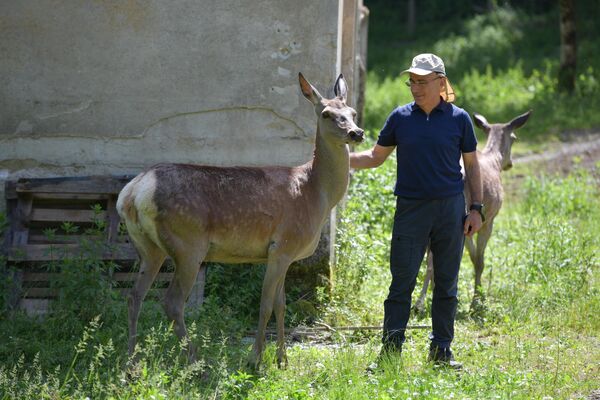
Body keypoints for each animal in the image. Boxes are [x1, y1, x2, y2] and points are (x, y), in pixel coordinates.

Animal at [115, 72, 364, 368]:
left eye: (352, 112)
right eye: (326, 114)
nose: (356, 132)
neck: (315, 193)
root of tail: (133, 192)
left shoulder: (284, 254)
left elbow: (281, 305)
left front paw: (282, 359)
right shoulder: (283, 244)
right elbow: (266, 305)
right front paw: (256, 359)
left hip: (147, 247)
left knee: (134, 296)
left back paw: (131, 362)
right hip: (188, 243)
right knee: (172, 302)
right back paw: (196, 362)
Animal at [414, 109, 532, 312]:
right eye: (515, 138)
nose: (510, 164)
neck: (494, 161)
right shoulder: (488, 219)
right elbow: (478, 260)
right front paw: (477, 300)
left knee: (428, 258)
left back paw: (422, 302)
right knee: (434, 260)